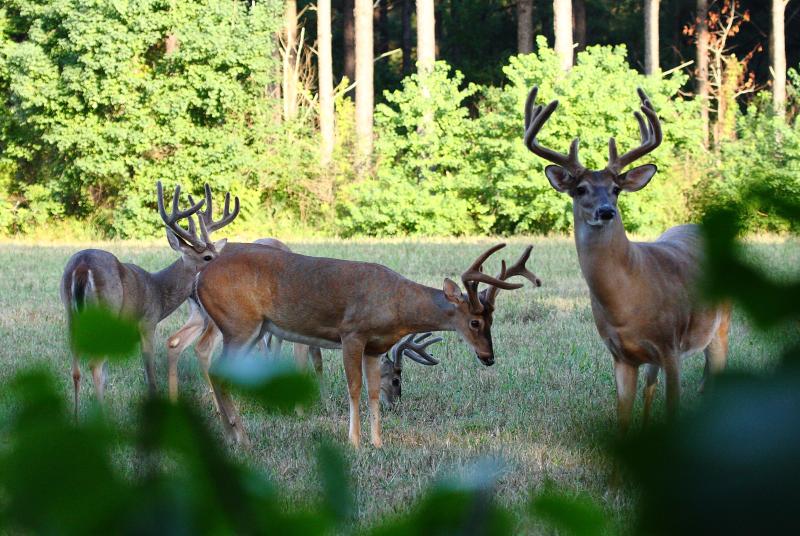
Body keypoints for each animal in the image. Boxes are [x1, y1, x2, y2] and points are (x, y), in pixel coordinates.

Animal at [59, 182, 238, 416]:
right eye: (208, 257)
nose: (226, 264)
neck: (158, 292)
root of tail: (82, 266)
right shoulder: (147, 323)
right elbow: (149, 373)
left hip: (71, 314)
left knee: (76, 369)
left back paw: (76, 417)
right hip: (107, 310)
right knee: (94, 365)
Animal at [197, 243, 540, 448]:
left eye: (492, 320)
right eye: (475, 323)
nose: (488, 357)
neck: (396, 305)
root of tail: (200, 275)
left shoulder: (375, 347)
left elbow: (374, 392)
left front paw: (377, 442)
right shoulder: (351, 333)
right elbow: (354, 388)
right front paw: (354, 441)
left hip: (250, 329)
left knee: (218, 371)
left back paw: (231, 437)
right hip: (239, 324)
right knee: (218, 371)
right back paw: (241, 438)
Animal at [520, 85, 736, 436]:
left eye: (616, 189)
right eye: (580, 189)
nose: (606, 211)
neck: (627, 298)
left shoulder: (671, 346)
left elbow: (673, 410)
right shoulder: (620, 354)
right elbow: (622, 419)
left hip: (720, 325)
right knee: (653, 387)